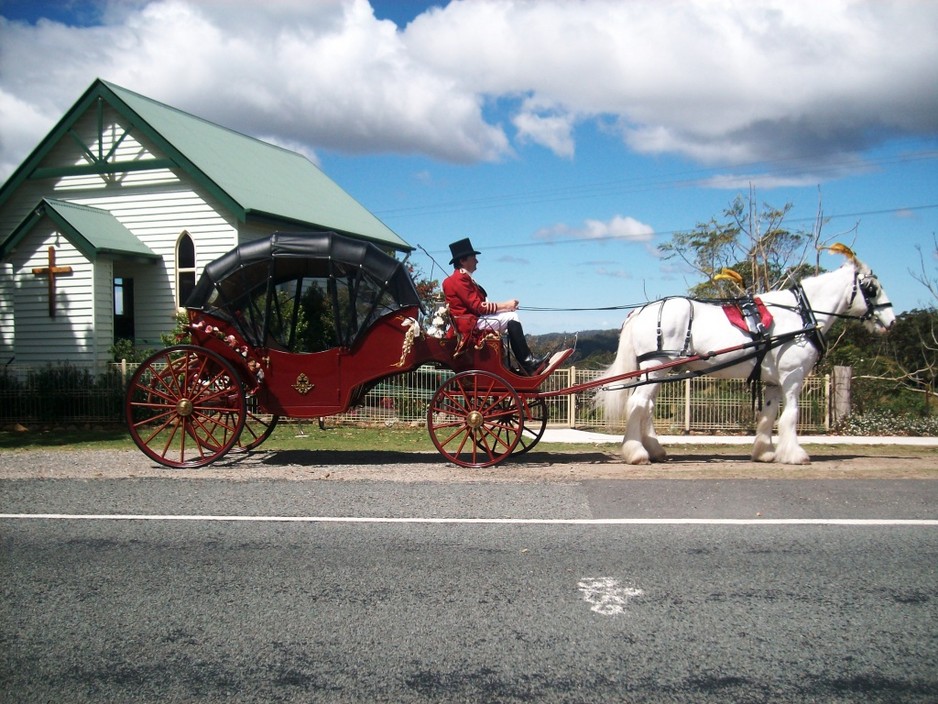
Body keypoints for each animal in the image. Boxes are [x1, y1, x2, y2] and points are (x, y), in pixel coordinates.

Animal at [596, 249, 896, 468]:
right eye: (872, 288)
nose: (892, 321)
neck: (800, 315)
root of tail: (640, 311)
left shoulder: (773, 381)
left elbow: (769, 414)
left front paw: (764, 452)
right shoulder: (793, 375)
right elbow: (791, 414)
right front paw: (795, 454)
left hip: (655, 370)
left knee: (646, 406)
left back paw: (654, 449)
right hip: (657, 366)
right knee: (638, 404)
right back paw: (637, 453)